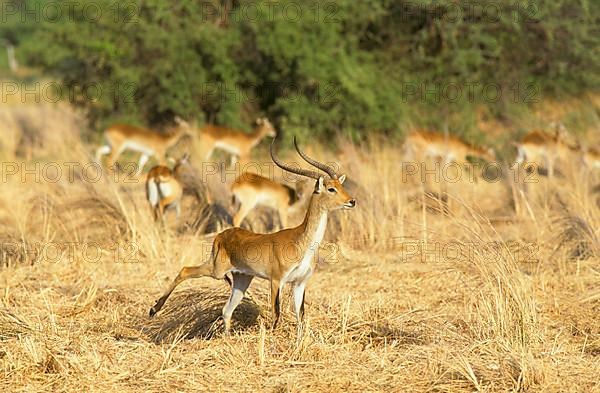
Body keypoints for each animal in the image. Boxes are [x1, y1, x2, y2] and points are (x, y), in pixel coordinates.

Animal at [150, 136, 356, 336]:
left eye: (340, 185)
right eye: (331, 188)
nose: (352, 201)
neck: (301, 241)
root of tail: (222, 235)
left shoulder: (300, 283)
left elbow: (301, 317)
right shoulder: (276, 280)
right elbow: (276, 314)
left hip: (242, 279)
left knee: (226, 310)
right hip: (217, 271)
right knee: (185, 270)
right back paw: (153, 310)